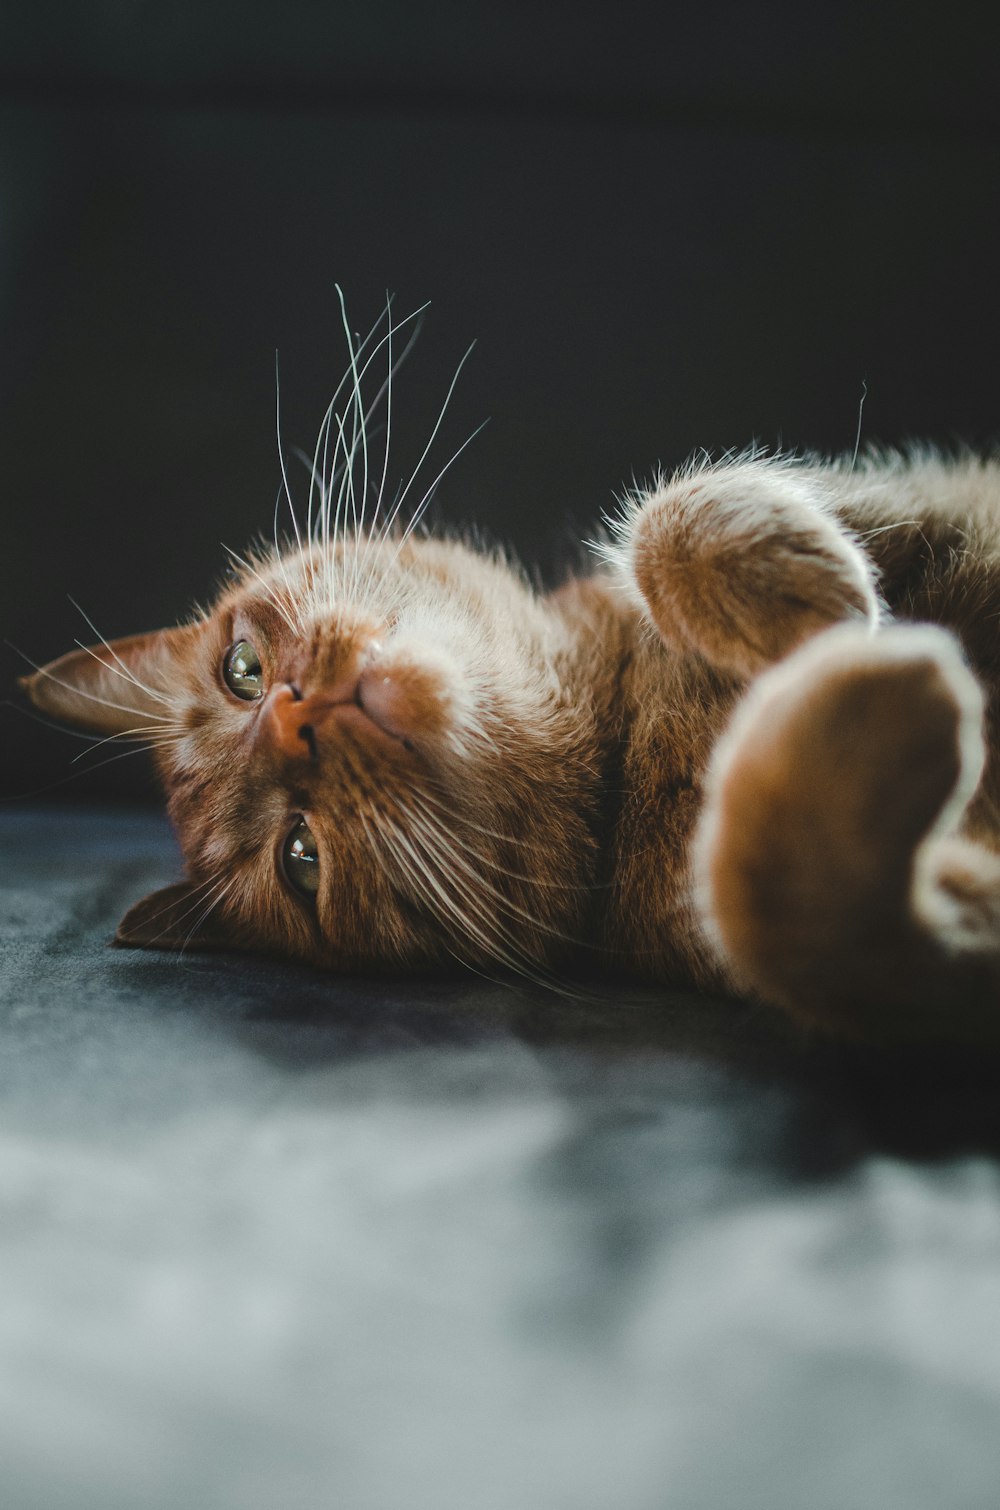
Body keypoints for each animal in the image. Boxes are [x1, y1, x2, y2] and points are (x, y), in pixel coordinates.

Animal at [17, 314, 1000, 1044]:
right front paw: (874, 707)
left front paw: (803, 592)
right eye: (301, 858)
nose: (293, 719)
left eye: (243, 672)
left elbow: (665, 515)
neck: (625, 747)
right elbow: (782, 908)